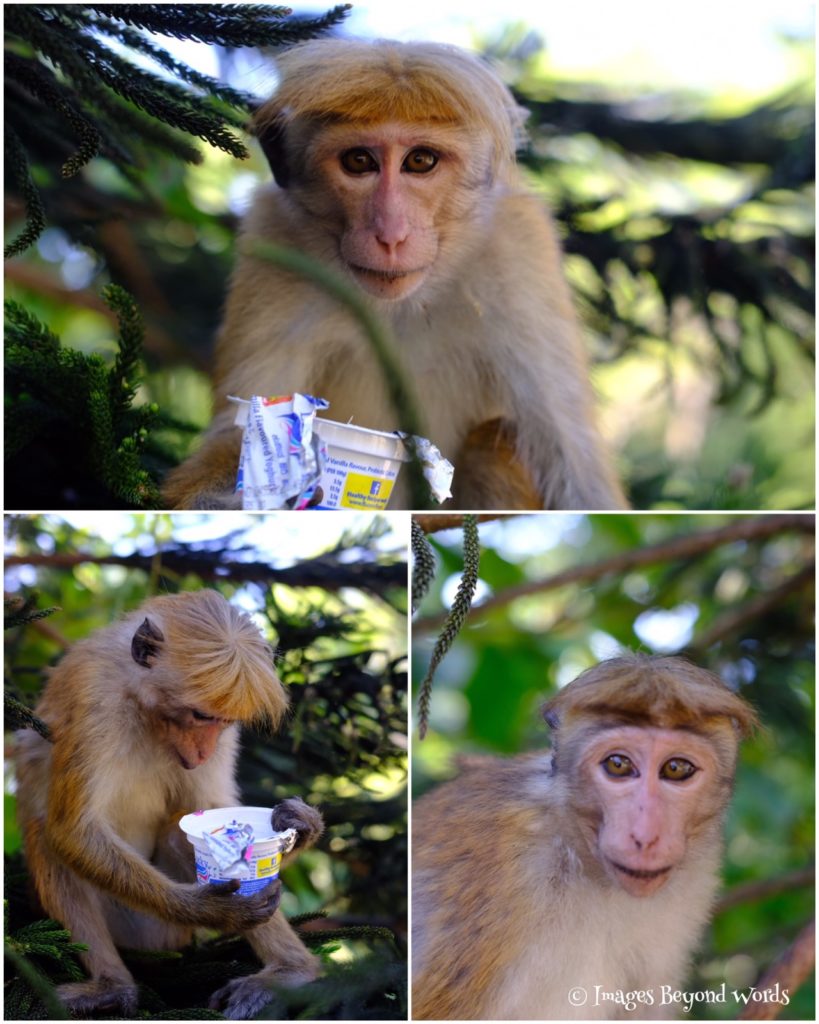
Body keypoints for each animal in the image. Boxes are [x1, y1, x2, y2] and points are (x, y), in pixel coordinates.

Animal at [15, 589, 324, 1020]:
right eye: (199, 715)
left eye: (222, 721)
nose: (203, 751)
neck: (141, 704)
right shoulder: (93, 693)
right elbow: (71, 830)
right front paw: (211, 911)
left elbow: (211, 806)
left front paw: (302, 827)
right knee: (45, 834)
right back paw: (113, 985)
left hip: (160, 931)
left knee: (181, 836)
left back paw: (292, 972)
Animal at [162, 38, 627, 512]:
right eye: (359, 161)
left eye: (420, 161)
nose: (390, 234)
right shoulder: (273, 248)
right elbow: (243, 426)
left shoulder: (520, 251)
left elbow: (576, 469)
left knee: (492, 444)